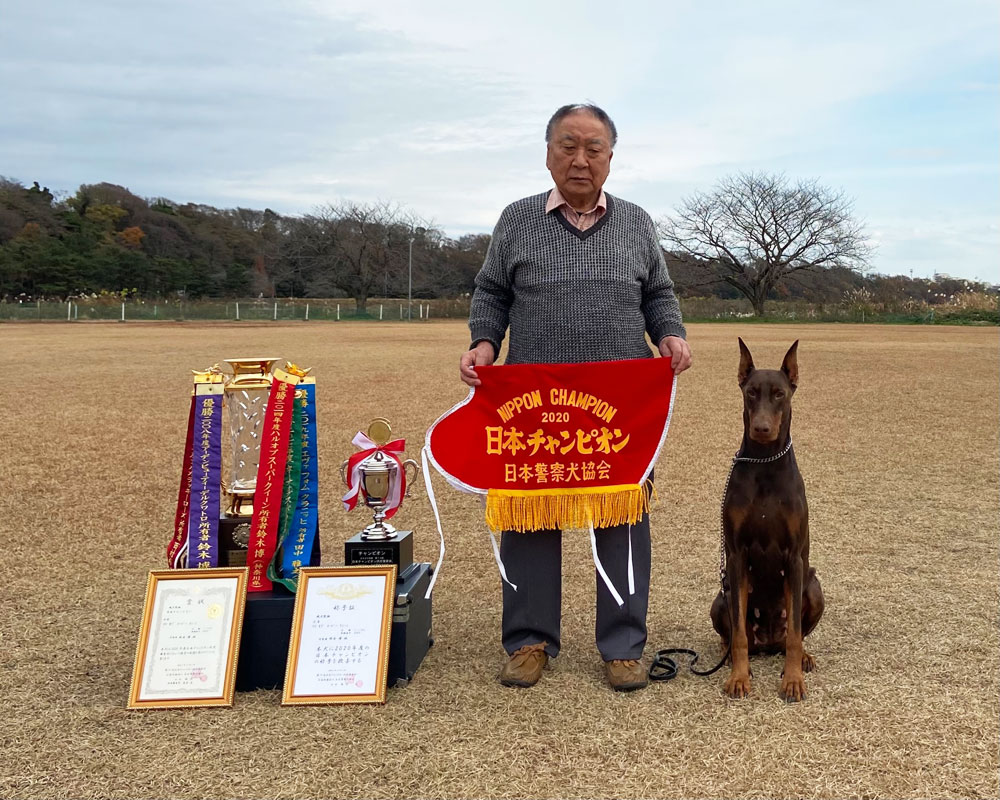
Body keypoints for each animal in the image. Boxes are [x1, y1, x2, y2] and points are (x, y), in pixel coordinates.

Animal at [716, 338, 824, 700]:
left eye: (779, 394)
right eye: (751, 392)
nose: (761, 428)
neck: (764, 462)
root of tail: (767, 642)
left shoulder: (794, 557)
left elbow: (795, 634)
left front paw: (792, 680)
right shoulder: (736, 555)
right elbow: (738, 633)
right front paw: (738, 677)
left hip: (814, 585)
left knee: (795, 633)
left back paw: (803, 657)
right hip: (721, 596)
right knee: (736, 634)